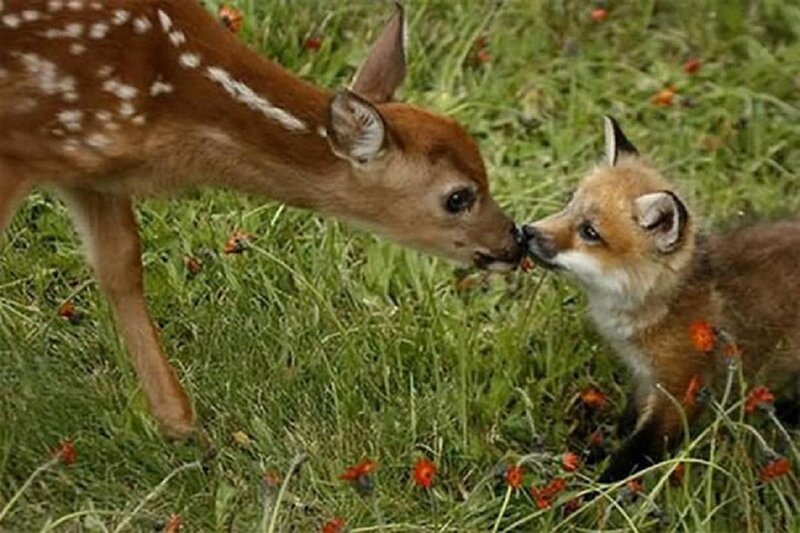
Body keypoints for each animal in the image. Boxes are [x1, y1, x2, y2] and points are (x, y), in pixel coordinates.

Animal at [0, 1, 523, 440]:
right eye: (457, 197)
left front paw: (182, 427)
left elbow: (121, 265)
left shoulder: (88, 168)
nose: (514, 241)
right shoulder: (24, 146)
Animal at [523, 117, 800, 483]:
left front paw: (599, 488)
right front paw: (591, 456)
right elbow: (624, 427)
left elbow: (638, 449)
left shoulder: (680, 389)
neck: (664, 306)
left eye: (590, 232)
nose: (525, 231)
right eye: (569, 205)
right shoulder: (645, 378)